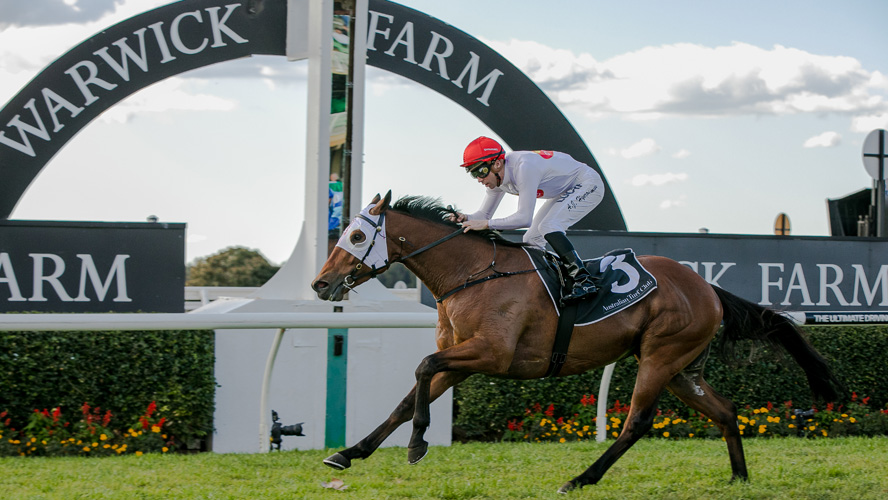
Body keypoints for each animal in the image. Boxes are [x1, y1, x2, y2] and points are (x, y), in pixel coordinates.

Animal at [310, 191, 844, 493]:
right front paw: (349, 452)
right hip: (681, 369)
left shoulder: (491, 354)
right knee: (727, 411)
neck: (473, 273)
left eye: (355, 236)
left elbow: (422, 366)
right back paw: (739, 477)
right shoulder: (463, 359)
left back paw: (582, 478)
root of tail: (707, 287)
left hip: (660, 357)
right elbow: (407, 397)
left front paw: (418, 444)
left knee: (636, 422)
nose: (320, 284)